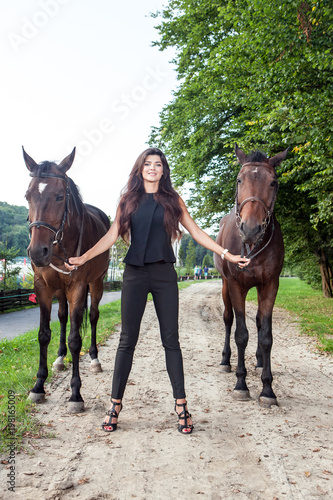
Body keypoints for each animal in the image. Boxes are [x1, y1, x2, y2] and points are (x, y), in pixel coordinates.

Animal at [23, 148, 109, 414]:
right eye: (27, 196)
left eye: (60, 196)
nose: (37, 252)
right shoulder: (42, 286)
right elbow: (44, 334)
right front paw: (38, 386)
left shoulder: (78, 287)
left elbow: (75, 338)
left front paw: (75, 393)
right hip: (60, 290)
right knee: (62, 317)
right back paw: (60, 359)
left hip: (97, 283)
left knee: (92, 316)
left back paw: (94, 358)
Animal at [213, 144, 288, 406]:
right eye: (239, 179)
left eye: (273, 182)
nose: (251, 229)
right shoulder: (236, 284)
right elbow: (241, 333)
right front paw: (241, 384)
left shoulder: (270, 284)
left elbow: (265, 334)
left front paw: (267, 388)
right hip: (225, 285)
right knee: (228, 319)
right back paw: (225, 360)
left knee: (257, 322)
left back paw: (258, 361)